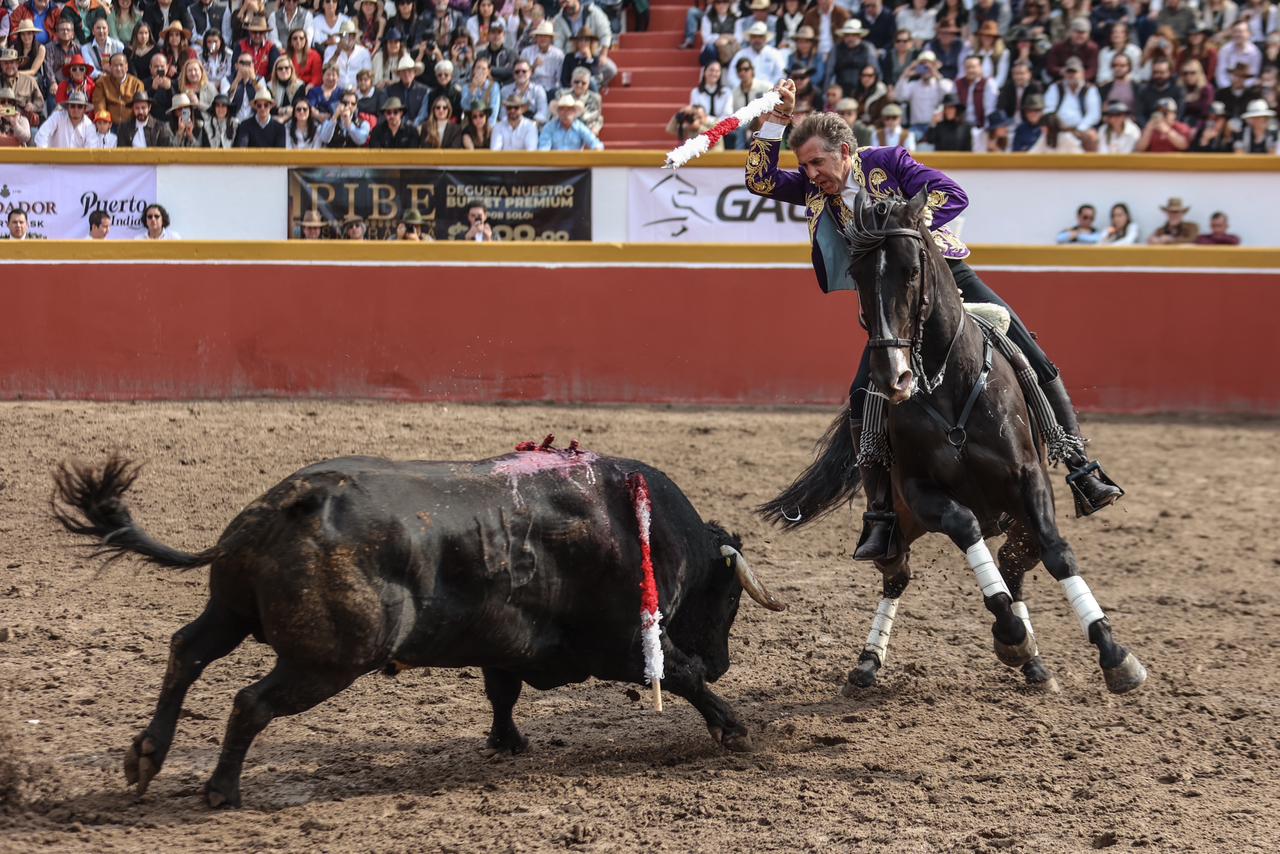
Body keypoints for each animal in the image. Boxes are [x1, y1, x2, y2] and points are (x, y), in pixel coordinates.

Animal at [55, 448, 783, 809]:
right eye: (727, 600)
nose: (723, 662)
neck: (643, 529)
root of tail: (288, 502)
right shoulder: (624, 642)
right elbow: (679, 674)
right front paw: (733, 727)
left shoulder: (504, 641)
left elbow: (501, 691)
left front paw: (507, 741)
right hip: (327, 660)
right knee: (250, 701)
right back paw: (221, 789)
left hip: (231, 612)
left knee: (188, 651)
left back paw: (146, 756)